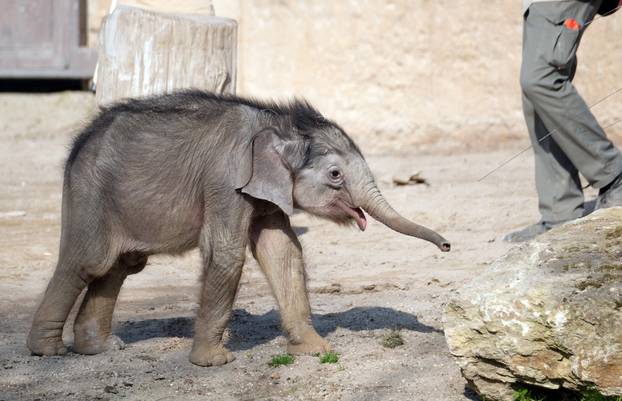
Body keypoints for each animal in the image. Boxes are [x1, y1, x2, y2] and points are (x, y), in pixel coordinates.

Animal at [26, 90, 450, 366]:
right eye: (335, 175)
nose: (447, 247)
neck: (275, 123)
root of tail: (78, 142)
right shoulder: (224, 180)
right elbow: (226, 253)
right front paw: (214, 362)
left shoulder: (264, 191)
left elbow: (283, 252)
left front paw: (316, 350)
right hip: (90, 194)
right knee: (89, 262)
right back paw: (48, 351)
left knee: (119, 266)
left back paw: (101, 349)